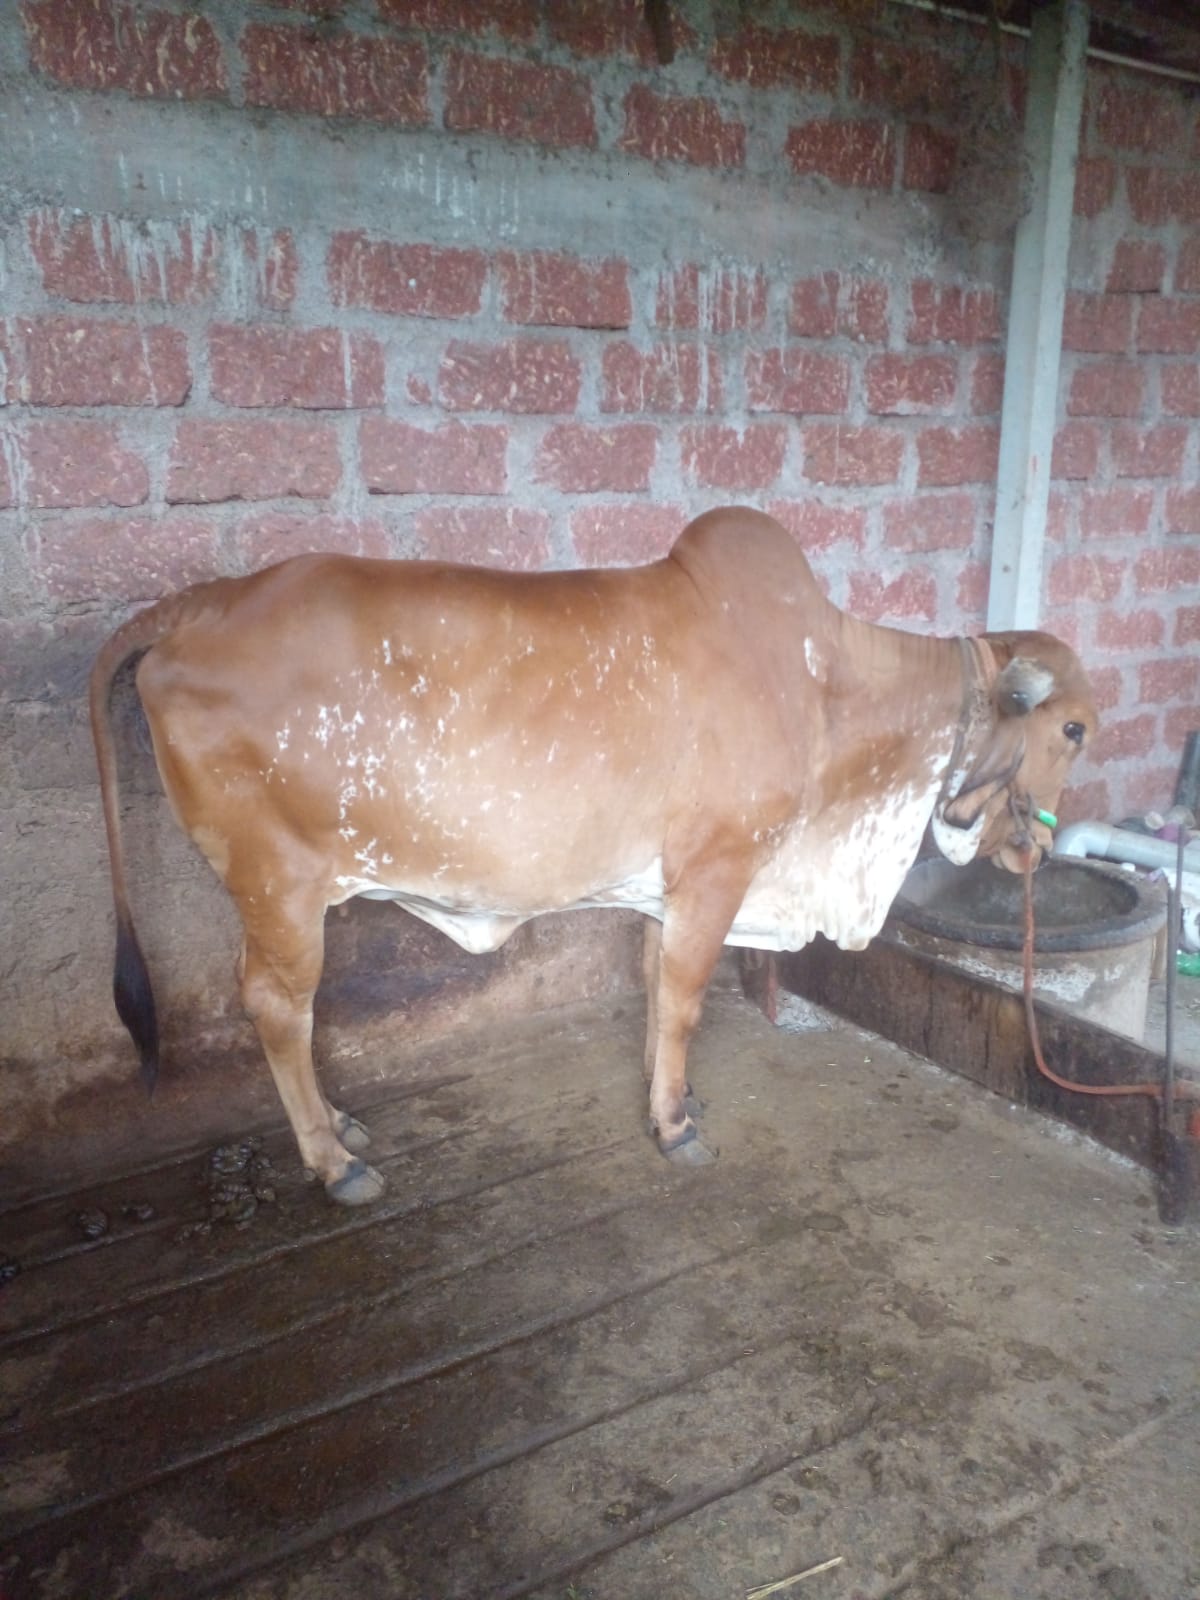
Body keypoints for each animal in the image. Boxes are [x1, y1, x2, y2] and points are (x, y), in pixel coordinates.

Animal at [90, 507, 1096, 1204]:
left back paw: (339, 1126)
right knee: (276, 1007)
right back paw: (332, 1160)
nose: (1039, 850)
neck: (828, 688)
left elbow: (654, 990)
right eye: (1076, 728)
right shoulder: (718, 870)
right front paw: (676, 1126)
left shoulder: (669, 885)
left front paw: (666, 1096)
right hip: (282, 884)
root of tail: (210, 601)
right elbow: (685, 1000)